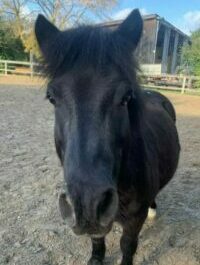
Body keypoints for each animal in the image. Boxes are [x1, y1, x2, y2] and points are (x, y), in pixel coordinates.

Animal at [35, 9, 180, 264]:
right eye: (52, 97)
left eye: (126, 97)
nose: (87, 205)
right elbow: (97, 239)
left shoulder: (134, 219)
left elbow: (128, 245)